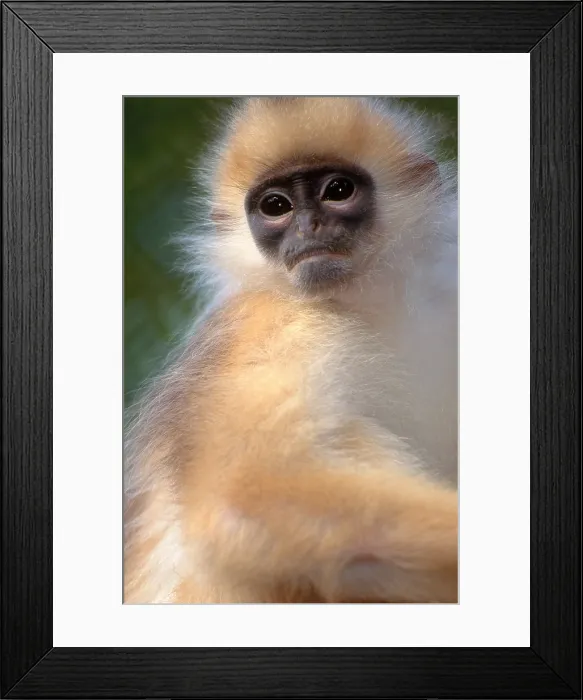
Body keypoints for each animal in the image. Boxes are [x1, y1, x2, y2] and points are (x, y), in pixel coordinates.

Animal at [124, 97, 458, 604]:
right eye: (275, 206)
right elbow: (244, 493)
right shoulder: (270, 324)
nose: (309, 225)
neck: (365, 304)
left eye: (337, 190)